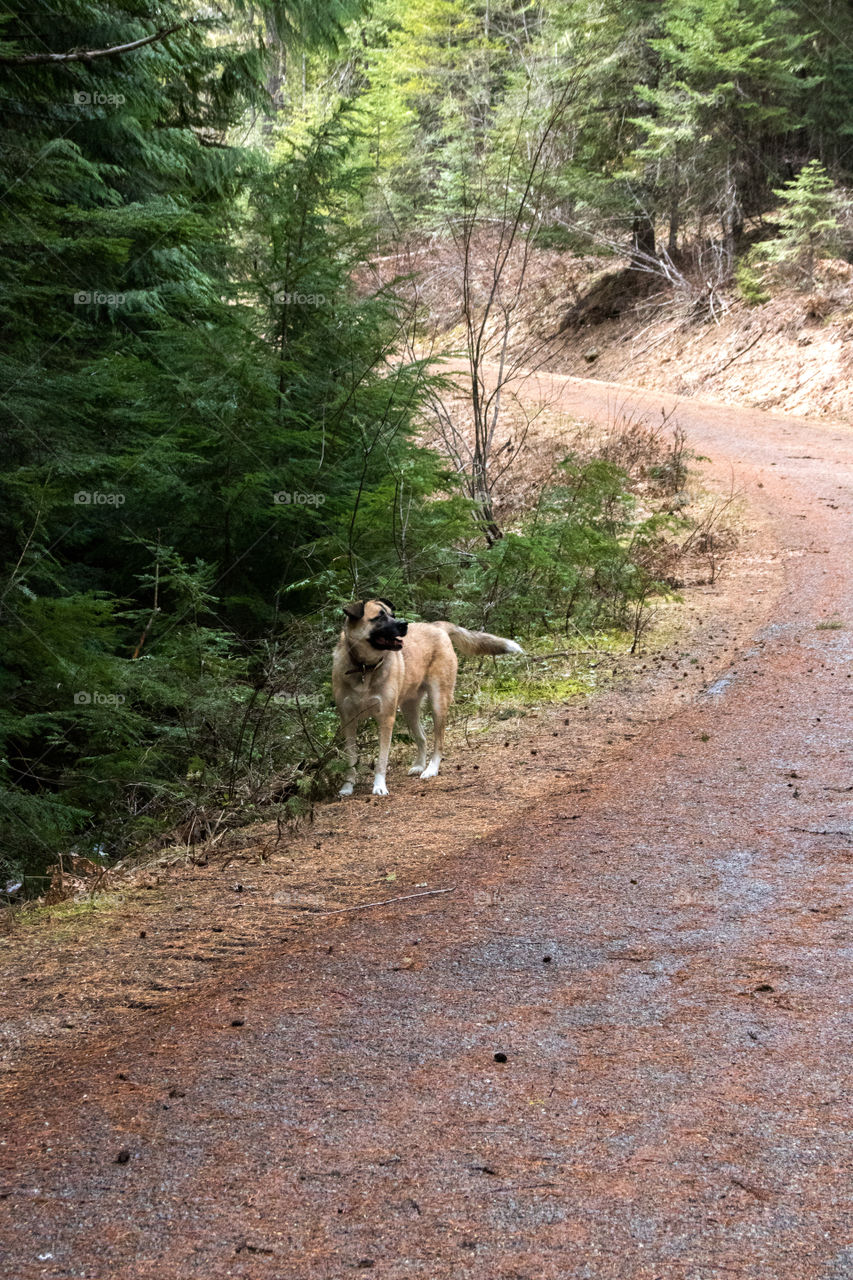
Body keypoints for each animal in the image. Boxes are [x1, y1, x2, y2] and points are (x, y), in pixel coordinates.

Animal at [330, 596, 517, 793]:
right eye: (379, 617)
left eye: (392, 615)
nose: (404, 624)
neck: (365, 668)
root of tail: (436, 625)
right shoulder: (348, 720)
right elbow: (350, 759)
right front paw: (347, 787)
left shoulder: (386, 718)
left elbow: (382, 759)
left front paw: (379, 786)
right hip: (409, 709)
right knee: (422, 738)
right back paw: (419, 765)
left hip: (438, 702)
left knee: (439, 742)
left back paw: (431, 769)